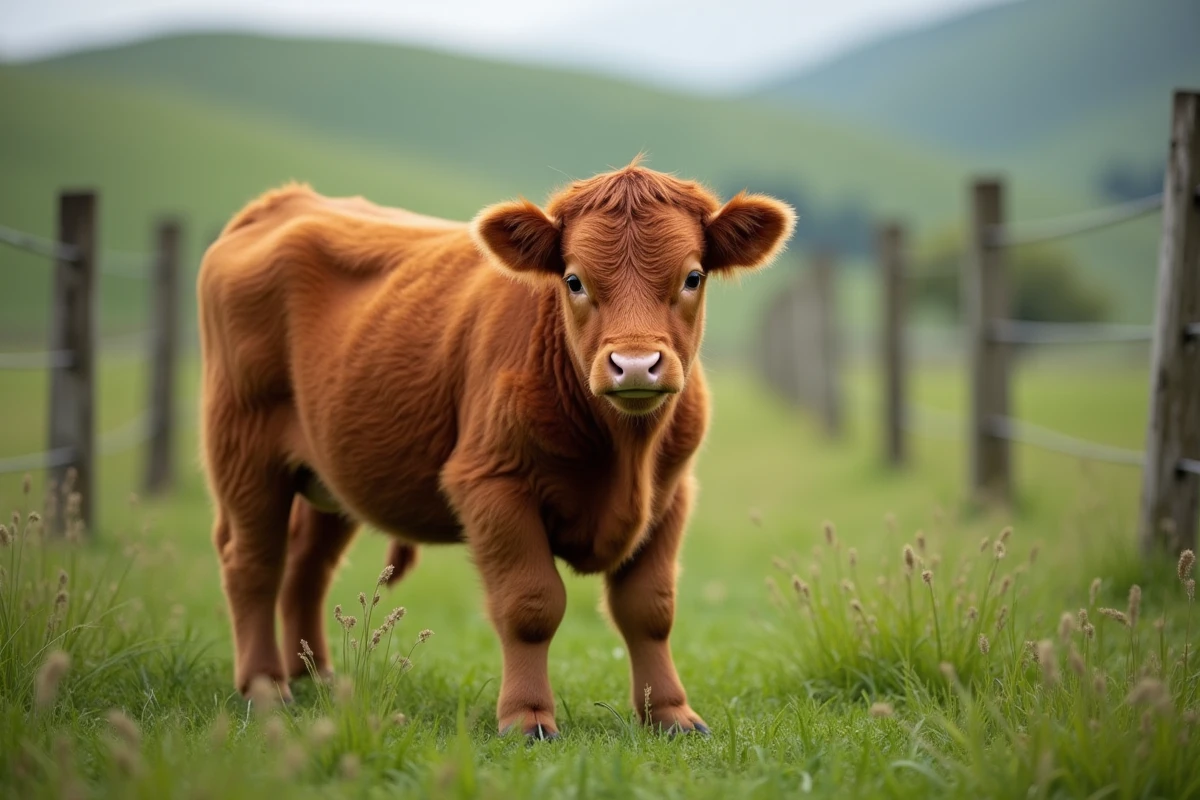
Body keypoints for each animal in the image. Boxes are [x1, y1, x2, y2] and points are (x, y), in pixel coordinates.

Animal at [198, 161, 795, 738]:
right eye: (573, 280)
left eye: (692, 276)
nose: (634, 364)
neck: (625, 452)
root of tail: (286, 201)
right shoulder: (492, 483)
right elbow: (530, 604)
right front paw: (527, 718)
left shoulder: (669, 494)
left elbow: (650, 608)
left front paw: (670, 714)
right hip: (242, 445)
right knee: (253, 562)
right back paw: (266, 688)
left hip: (329, 471)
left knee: (307, 566)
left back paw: (316, 678)